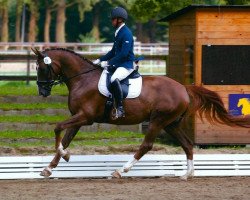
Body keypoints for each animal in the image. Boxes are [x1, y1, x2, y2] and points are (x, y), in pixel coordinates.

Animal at [32, 47, 250, 180]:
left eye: (42, 67)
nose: (42, 92)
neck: (82, 79)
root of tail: (183, 88)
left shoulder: (85, 117)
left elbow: (57, 128)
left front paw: (65, 156)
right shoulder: (78, 118)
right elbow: (65, 138)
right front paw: (50, 167)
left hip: (158, 121)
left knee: (146, 145)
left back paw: (121, 171)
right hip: (170, 124)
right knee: (187, 144)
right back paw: (187, 175)